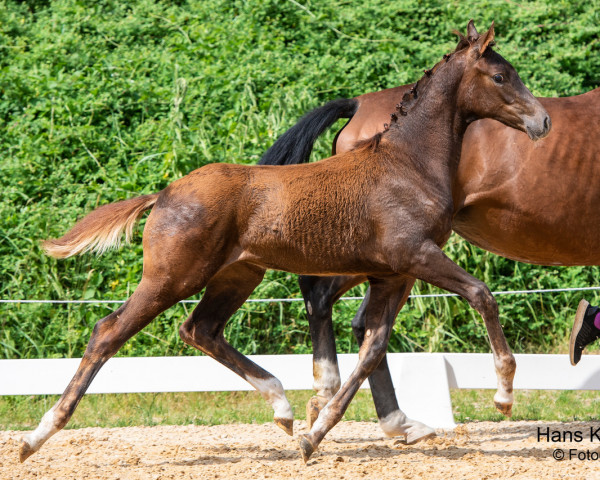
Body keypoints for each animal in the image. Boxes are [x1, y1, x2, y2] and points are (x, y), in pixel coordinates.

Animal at [22, 20, 548, 464]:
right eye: (501, 75)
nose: (542, 122)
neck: (408, 165)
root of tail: (164, 194)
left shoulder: (393, 275)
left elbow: (372, 349)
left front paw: (316, 435)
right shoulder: (417, 256)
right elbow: (481, 294)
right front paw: (504, 394)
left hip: (239, 275)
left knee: (200, 329)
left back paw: (283, 407)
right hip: (172, 277)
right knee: (109, 331)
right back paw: (36, 437)